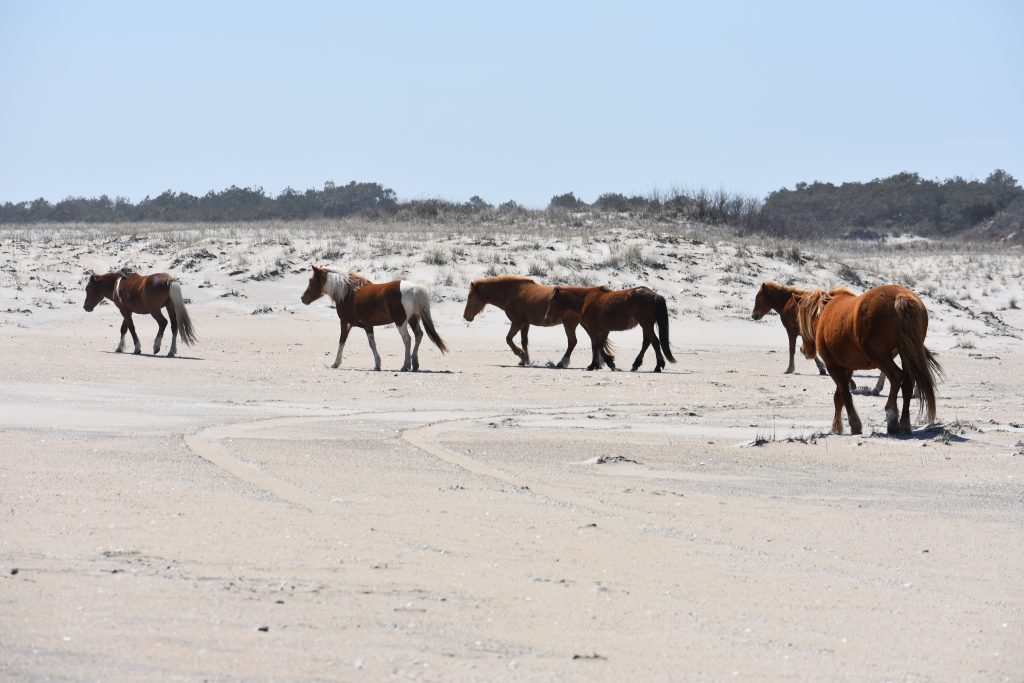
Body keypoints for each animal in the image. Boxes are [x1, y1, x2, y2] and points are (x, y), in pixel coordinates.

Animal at [301, 265, 447, 371]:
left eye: (311, 281)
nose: (303, 298)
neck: (348, 293)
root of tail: (414, 287)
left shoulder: (345, 323)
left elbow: (341, 342)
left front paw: (336, 363)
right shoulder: (368, 326)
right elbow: (372, 344)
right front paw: (377, 364)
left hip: (401, 322)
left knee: (407, 339)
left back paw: (405, 365)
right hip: (412, 319)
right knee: (418, 335)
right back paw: (415, 364)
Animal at [462, 275, 612, 368]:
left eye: (470, 297)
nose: (465, 316)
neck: (512, 293)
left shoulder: (517, 322)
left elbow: (509, 339)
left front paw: (522, 356)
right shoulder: (525, 324)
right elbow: (524, 341)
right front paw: (525, 360)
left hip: (569, 324)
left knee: (573, 342)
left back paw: (563, 362)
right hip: (585, 324)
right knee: (594, 341)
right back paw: (600, 362)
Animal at [544, 285, 676, 372]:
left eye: (552, 301)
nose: (546, 319)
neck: (585, 300)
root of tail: (654, 295)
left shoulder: (595, 328)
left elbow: (597, 346)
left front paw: (599, 364)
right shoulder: (601, 330)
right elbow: (598, 346)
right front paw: (601, 363)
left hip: (646, 324)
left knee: (655, 342)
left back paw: (658, 366)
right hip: (645, 325)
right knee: (647, 342)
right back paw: (636, 364)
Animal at [753, 280, 885, 394]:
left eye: (758, 298)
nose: (754, 315)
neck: (787, 302)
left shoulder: (792, 331)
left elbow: (793, 350)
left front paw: (790, 369)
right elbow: (806, 351)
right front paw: (822, 368)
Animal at [796, 284, 942, 435]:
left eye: (799, 321)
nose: (803, 350)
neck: (825, 312)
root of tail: (901, 297)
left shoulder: (832, 366)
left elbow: (845, 394)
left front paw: (853, 424)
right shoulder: (847, 368)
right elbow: (839, 397)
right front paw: (837, 425)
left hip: (881, 358)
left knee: (896, 377)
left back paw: (892, 417)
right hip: (906, 353)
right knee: (907, 383)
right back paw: (904, 423)